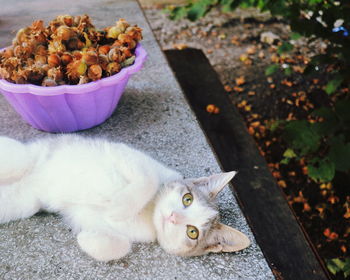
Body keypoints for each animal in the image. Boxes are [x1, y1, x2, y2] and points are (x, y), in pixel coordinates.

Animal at [0, 135, 252, 262]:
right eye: (187, 199)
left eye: (193, 232)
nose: (172, 216)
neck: (149, 212)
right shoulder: (128, 156)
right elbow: (149, 179)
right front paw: (119, 207)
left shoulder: (90, 218)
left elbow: (122, 245)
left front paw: (87, 239)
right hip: (24, 158)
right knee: (18, 158)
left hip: (24, 202)